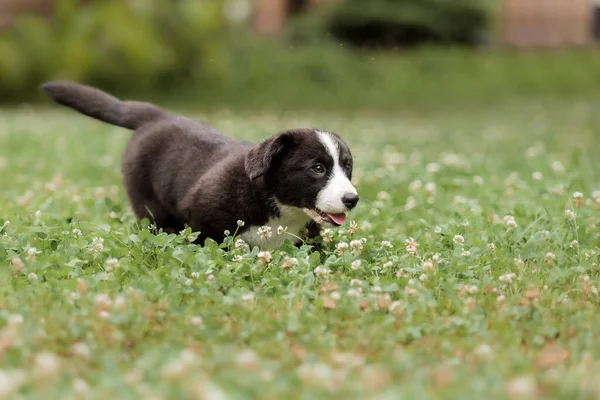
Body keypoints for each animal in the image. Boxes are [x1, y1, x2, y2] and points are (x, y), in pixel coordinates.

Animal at [42, 81, 360, 248]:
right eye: (317, 168)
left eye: (347, 167)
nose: (352, 199)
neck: (281, 210)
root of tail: (157, 116)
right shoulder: (200, 218)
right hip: (150, 207)